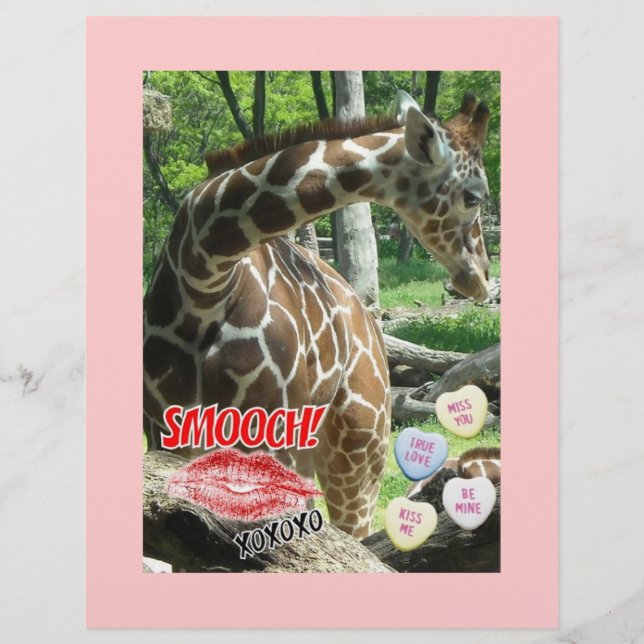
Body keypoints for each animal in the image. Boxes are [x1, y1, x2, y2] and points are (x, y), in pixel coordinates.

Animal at [144, 89, 491, 538]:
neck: (203, 277)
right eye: (473, 196)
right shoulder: (165, 433)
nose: (482, 276)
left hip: (359, 450)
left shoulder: (270, 432)